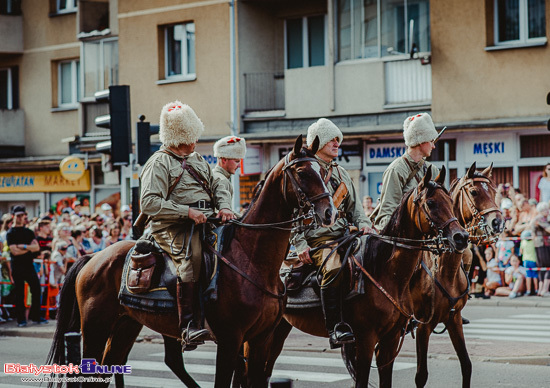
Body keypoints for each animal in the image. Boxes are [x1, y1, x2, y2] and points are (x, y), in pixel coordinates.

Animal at [47, 135, 338, 386]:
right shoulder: (230, 340)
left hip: (126, 325)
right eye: (302, 172)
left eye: (323, 171)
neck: (253, 261)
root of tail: (93, 258)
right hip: (95, 328)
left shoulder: (260, 340)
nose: (329, 213)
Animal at [260, 165, 470, 386]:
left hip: (280, 328)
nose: (461, 237)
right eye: (431, 203)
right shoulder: (366, 340)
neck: (387, 272)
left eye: (450, 202)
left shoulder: (390, 340)